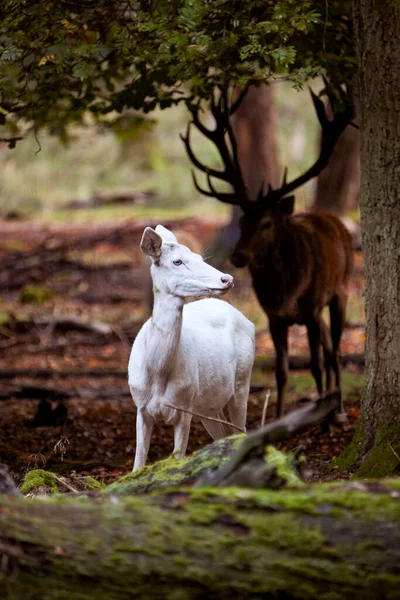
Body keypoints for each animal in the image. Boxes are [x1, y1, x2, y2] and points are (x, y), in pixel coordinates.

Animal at [128, 227, 255, 472]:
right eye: (177, 261)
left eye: (199, 257)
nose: (227, 279)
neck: (158, 375)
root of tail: (250, 323)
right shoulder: (140, 407)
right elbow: (138, 464)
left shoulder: (184, 405)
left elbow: (178, 459)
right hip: (207, 405)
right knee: (224, 435)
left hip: (243, 381)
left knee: (241, 432)